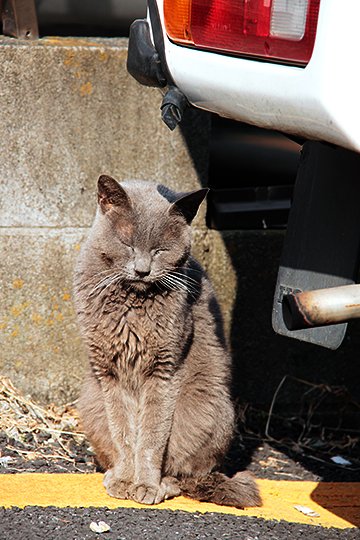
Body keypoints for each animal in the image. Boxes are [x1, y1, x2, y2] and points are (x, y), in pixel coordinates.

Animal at [73, 175, 260, 508]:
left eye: (160, 250)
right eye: (127, 244)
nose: (142, 270)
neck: (132, 305)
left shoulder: (164, 369)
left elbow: (151, 436)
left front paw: (145, 485)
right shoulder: (109, 371)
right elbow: (123, 432)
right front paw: (124, 480)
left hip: (210, 407)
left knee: (185, 474)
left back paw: (164, 485)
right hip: (90, 401)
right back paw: (112, 474)